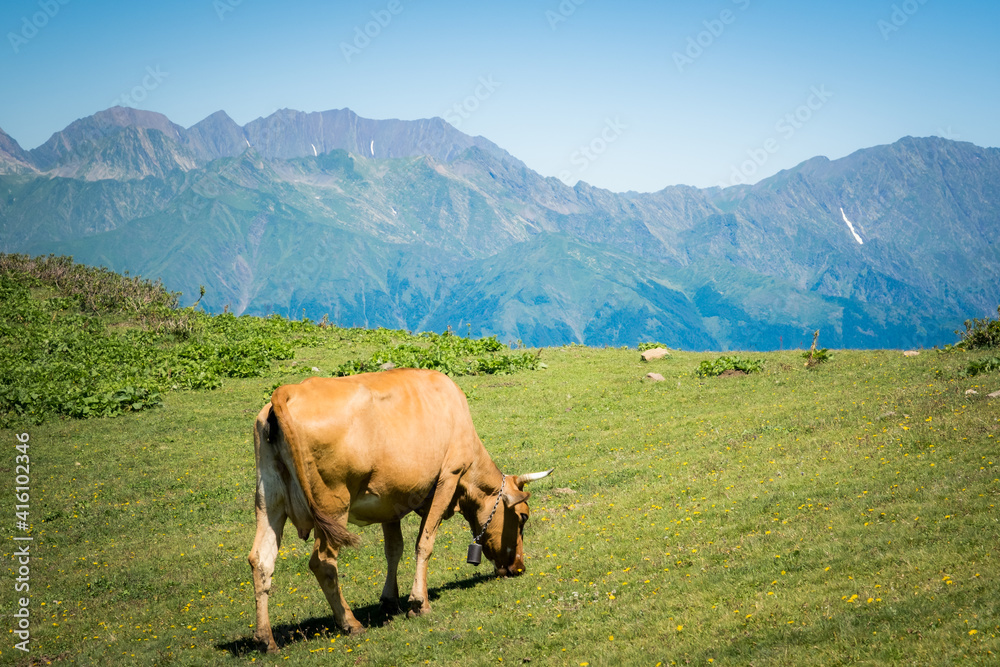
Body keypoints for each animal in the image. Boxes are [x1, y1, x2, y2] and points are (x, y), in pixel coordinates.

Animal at [246, 366, 552, 652]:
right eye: (523, 517)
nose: (519, 567)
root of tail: (287, 391)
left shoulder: (387, 499)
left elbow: (394, 549)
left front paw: (390, 600)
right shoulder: (448, 477)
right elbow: (424, 543)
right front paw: (419, 602)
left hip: (269, 500)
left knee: (261, 560)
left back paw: (265, 639)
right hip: (333, 506)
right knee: (322, 562)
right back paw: (351, 623)